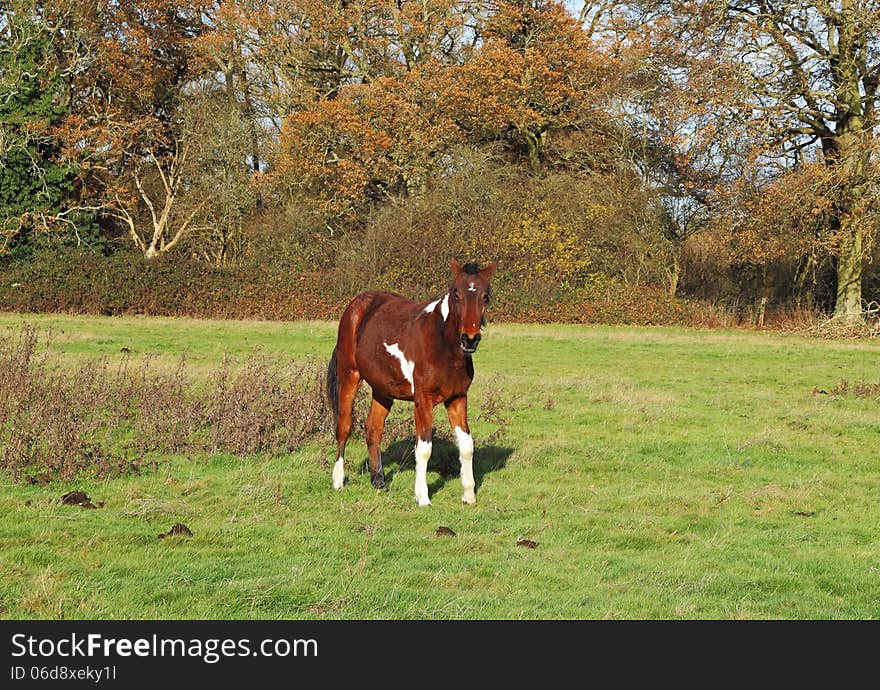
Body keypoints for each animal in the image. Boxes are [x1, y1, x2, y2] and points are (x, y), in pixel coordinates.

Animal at [326, 258, 498, 506]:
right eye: (457, 294)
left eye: (485, 296)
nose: (470, 339)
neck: (442, 345)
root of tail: (356, 307)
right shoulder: (423, 400)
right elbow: (424, 448)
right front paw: (423, 497)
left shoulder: (458, 397)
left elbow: (466, 445)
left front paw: (469, 495)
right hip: (349, 374)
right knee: (344, 425)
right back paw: (338, 480)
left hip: (383, 389)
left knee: (373, 428)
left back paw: (378, 480)